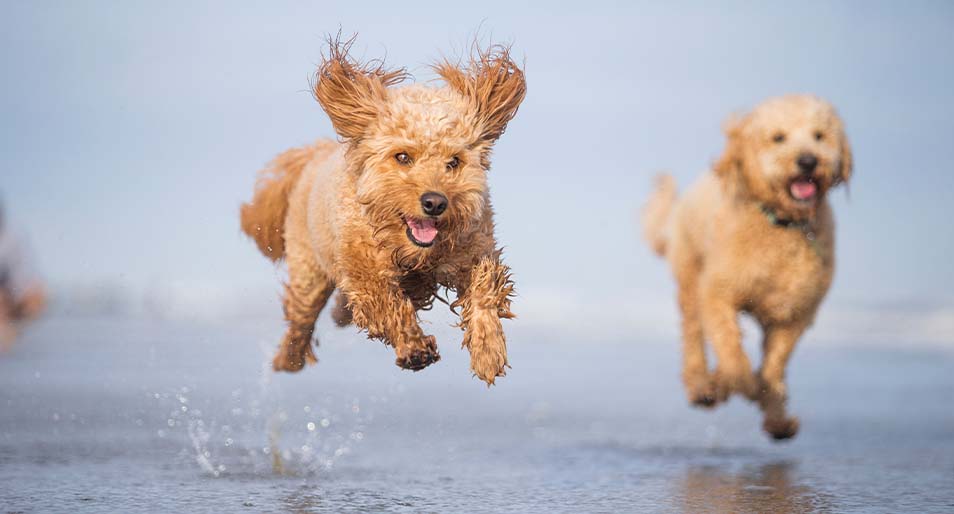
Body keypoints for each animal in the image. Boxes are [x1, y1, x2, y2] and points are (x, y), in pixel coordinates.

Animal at [236, 34, 520, 382]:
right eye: (402, 157)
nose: (435, 202)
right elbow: (387, 304)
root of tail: (316, 153)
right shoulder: (365, 269)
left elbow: (484, 290)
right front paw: (414, 348)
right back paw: (288, 359)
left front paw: (488, 350)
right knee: (301, 318)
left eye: (454, 162)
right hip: (309, 270)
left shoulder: (474, 249)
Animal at [644, 95, 852, 436]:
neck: (781, 223)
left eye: (819, 136)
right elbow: (732, 354)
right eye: (778, 137)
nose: (808, 161)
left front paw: (775, 412)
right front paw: (731, 384)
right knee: (693, 334)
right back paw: (701, 385)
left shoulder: (794, 313)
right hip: (690, 276)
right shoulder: (718, 295)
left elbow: (775, 363)